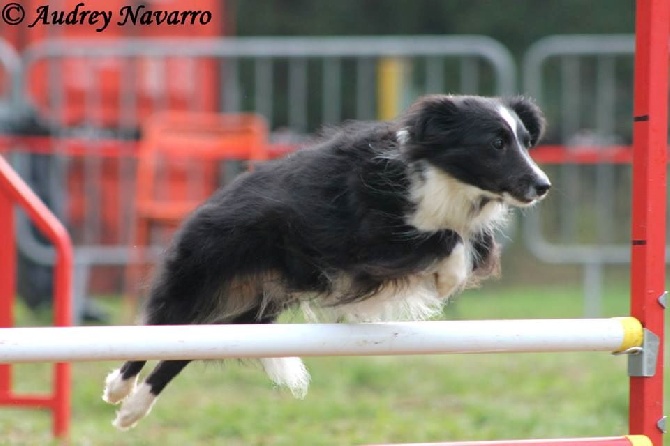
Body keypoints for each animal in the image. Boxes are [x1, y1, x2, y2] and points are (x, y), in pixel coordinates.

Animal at [103, 93, 552, 428]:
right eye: (495, 142)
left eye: (526, 141)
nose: (542, 185)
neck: (441, 177)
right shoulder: (363, 241)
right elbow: (443, 236)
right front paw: (446, 276)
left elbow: (473, 239)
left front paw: (451, 274)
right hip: (199, 275)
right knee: (154, 333)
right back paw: (118, 390)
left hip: (245, 311)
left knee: (179, 352)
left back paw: (132, 411)